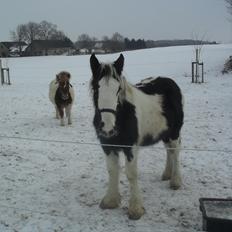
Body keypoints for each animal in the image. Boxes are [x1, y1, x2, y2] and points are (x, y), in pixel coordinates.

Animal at [89, 53, 184, 220]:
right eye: (96, 88)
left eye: (118, 89)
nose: (107, 127)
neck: (124, 116)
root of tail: (170, 82)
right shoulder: (107, 146)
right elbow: (112, 170)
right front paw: (110, 201)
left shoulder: (131, 148)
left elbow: (131, 174)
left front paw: (135, 209)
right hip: (164, 133)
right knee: (169, 151)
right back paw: (166, 174)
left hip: (174, 133)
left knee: (175, 152)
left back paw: (175, 181)